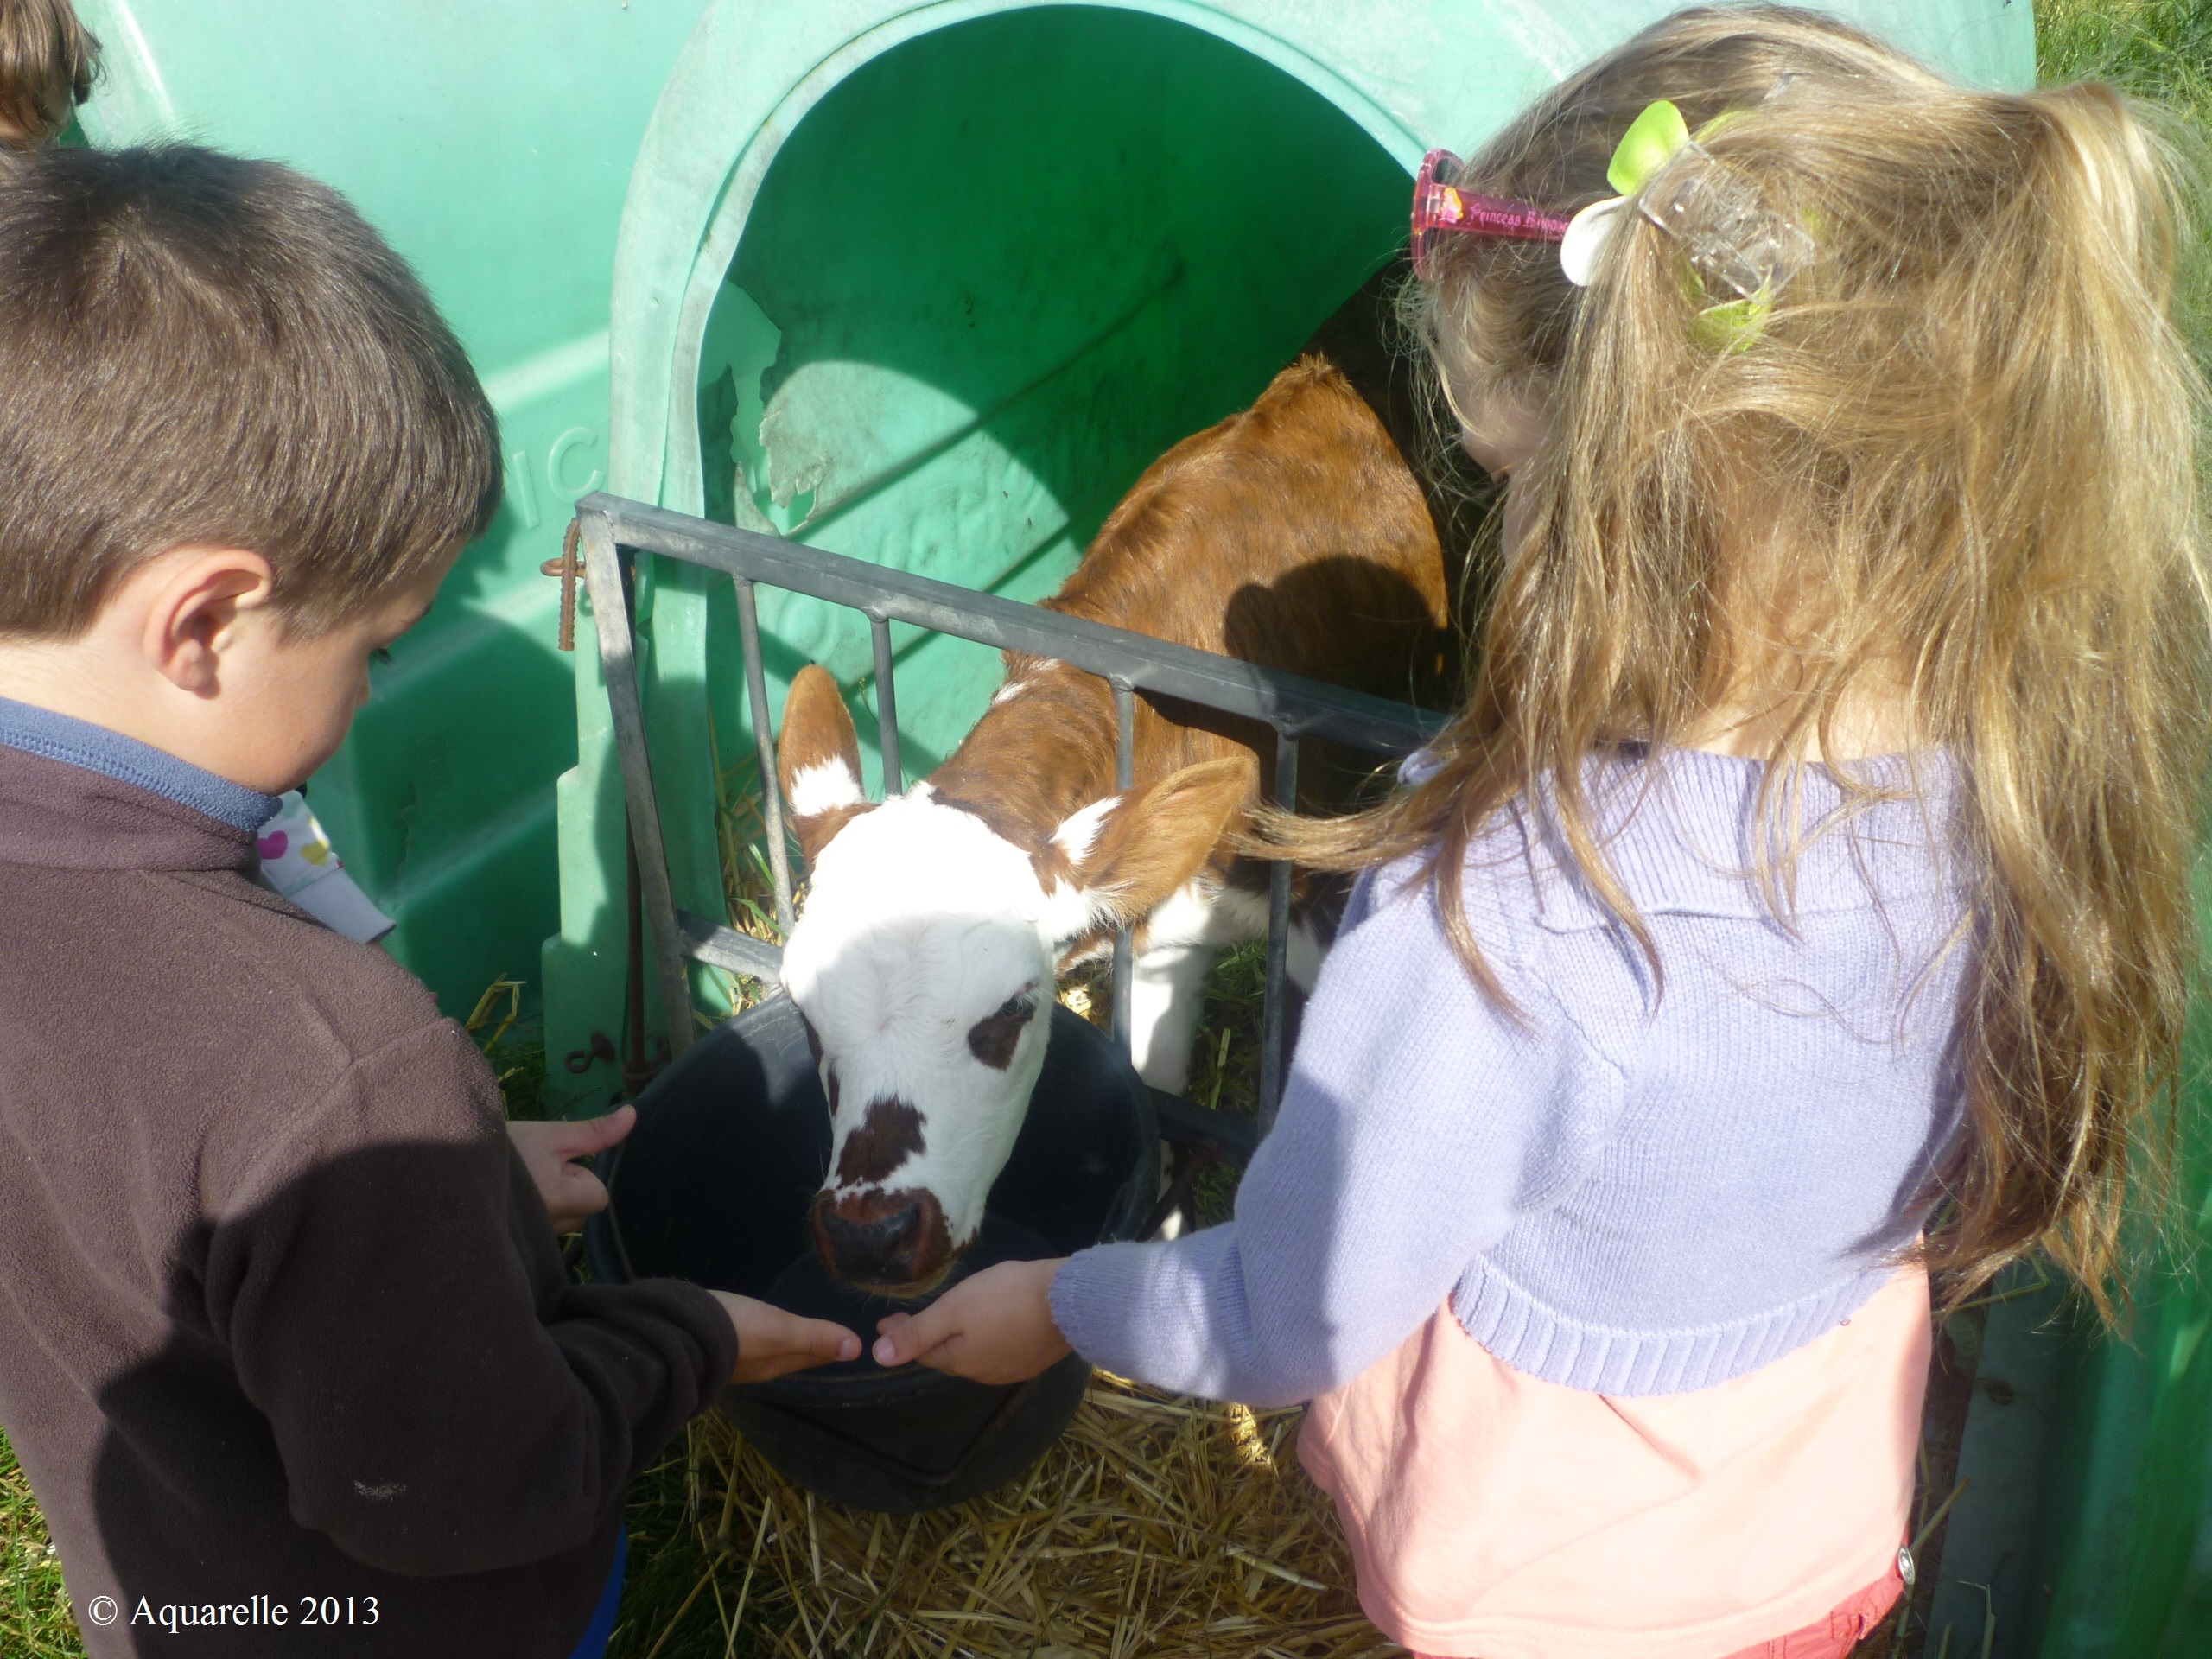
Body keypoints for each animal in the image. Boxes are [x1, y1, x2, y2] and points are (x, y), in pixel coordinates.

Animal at [769, 266, 1478, 1292]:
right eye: (804, 1013)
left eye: (1010, 1015)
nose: (871, 1234)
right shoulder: (1161, 932)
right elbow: (1158, 1098)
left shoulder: (1318, 896)